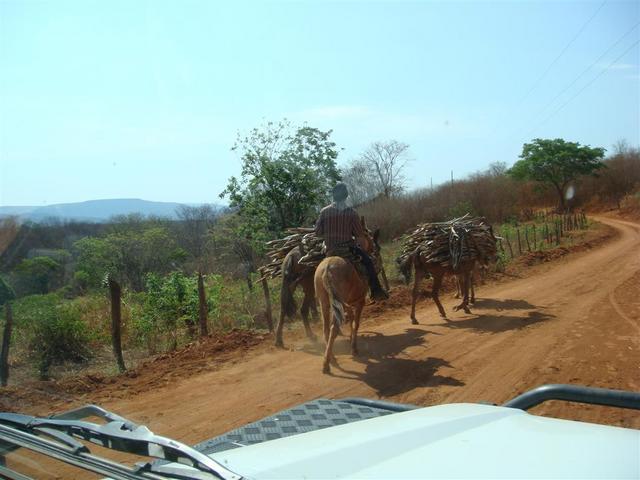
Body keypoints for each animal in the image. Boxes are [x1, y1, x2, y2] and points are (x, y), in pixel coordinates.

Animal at [316, 219, 380, 374]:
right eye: (367, 233)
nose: (375, 247)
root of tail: (327, 268)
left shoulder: (348, 303)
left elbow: (351, 320)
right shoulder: (360, 301)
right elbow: (356, 323)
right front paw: (354, 348)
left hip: (324, 301)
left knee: (326, 328)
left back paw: (331, 358)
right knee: (334, 327)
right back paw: (326, 364)